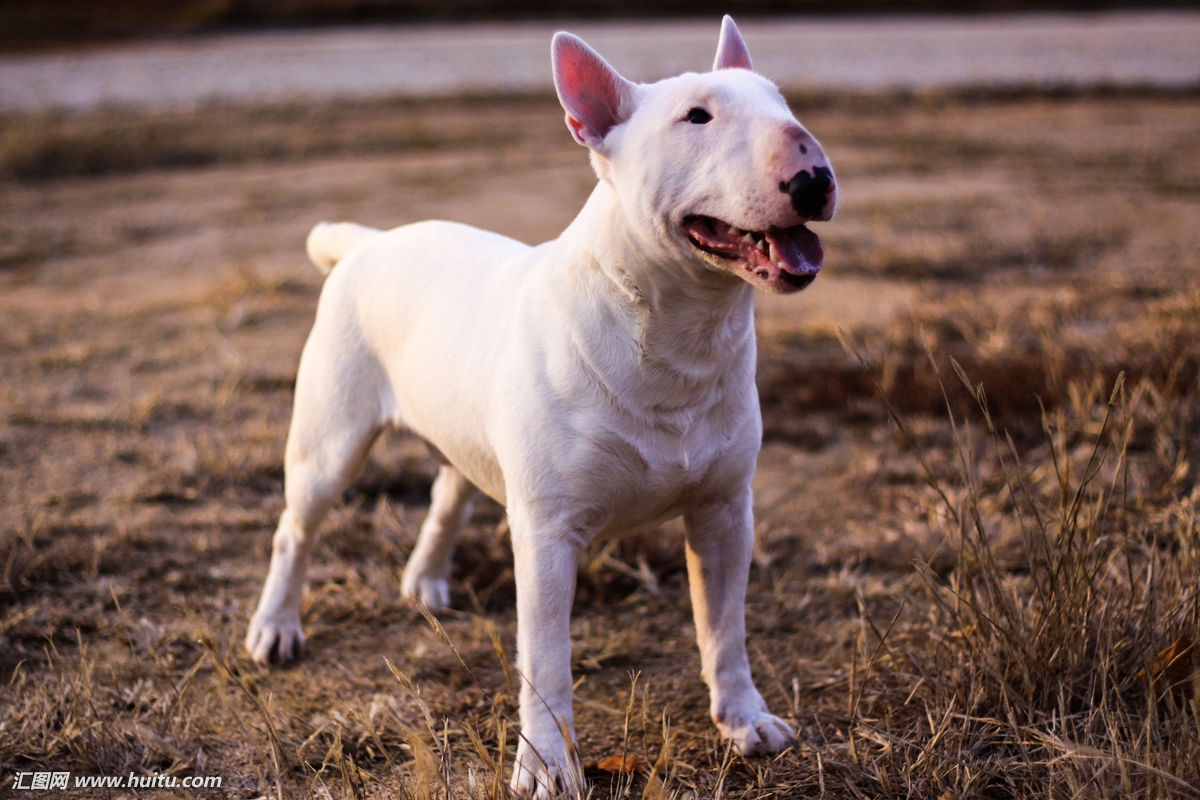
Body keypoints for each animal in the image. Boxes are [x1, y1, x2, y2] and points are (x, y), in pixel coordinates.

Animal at [246, 17, 835, 796]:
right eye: (696, 117)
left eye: (783, 102)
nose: (815, 176)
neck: (676, 331)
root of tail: (369, 243)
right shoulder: (548, 533)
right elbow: (548, 658)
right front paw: (548, 767)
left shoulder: (724, 511)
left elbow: (723, 628)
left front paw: (747, 723)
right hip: (329, 440)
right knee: (297, 529)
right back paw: (276, 628)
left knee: (449, 490)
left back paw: (425, 579)